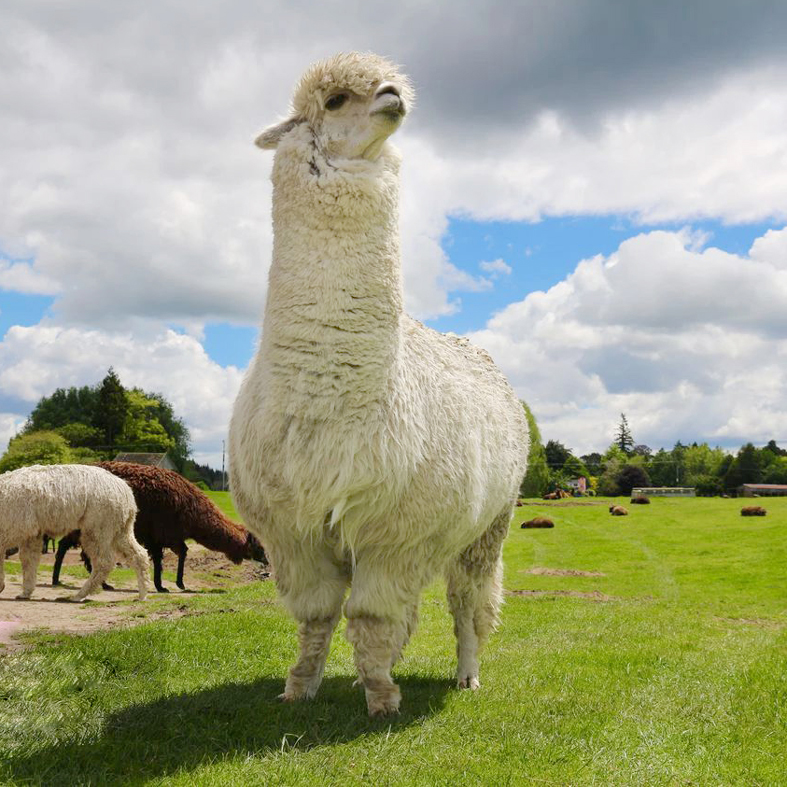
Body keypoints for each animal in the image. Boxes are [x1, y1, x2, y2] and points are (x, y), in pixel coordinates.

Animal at [0, 464, 149, 600]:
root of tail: (125, 490)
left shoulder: (17, 528)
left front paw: (5, 588)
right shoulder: (32, 532)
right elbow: (29, 559)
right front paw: (25, 593)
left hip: (99, 524)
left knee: (104, 562)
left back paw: (78, 596)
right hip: (121, 527)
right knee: (139, 554)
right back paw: (142, 596)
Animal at [53, 462, 268, 592]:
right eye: (259, 548)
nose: (267, 563)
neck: (191, 511)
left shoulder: (170, 535)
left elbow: (180, 552)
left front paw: (172, 584)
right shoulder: (159, 532)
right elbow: (162, 558)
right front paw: (165, 585)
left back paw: (99, 583)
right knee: (66, 546)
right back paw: (59, 580)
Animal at [228, 52, 528, 716]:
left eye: (389, 86)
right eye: (337, 99)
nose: (394, 97)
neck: (327, 400)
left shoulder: (397, 535)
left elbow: (368, 614)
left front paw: (383, 700)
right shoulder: (292, 534)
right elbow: (318, 616)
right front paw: (301, 686)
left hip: (487, 526)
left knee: (468, 605)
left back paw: (466, 675)